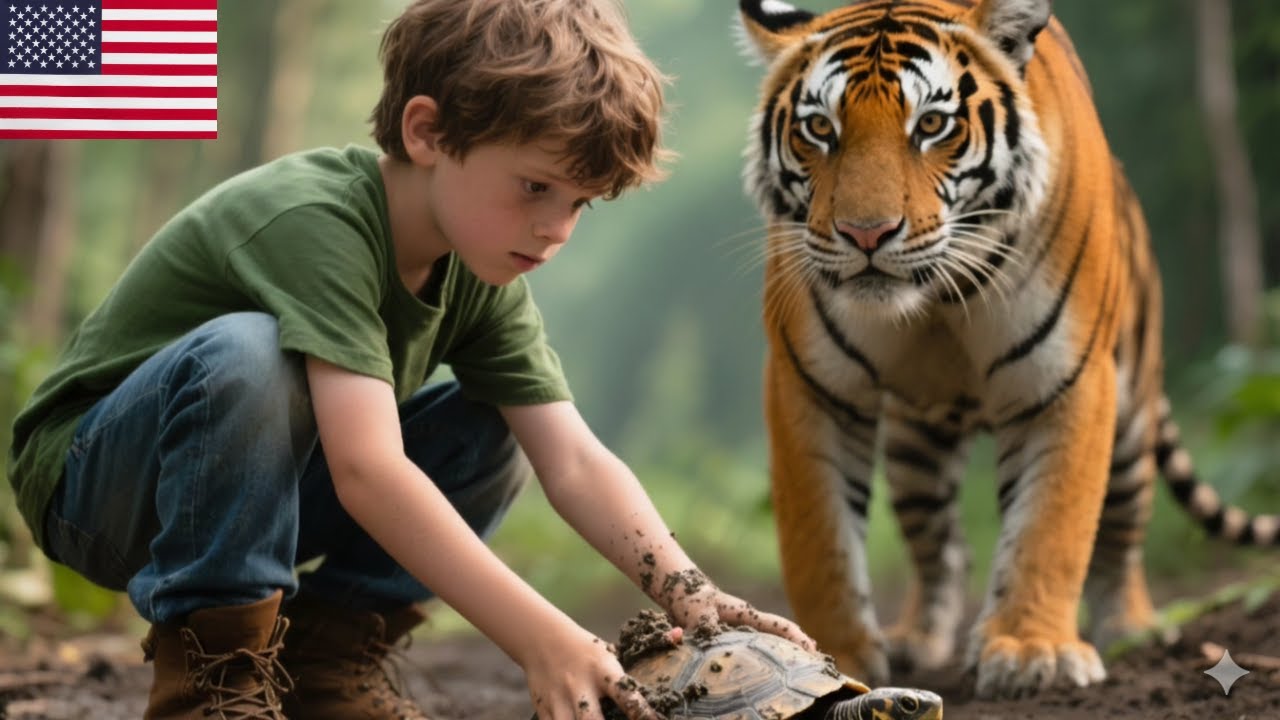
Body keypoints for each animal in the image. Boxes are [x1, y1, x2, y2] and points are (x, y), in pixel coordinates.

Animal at [735, 0, 1279, 700]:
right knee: (942, 546)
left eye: (932, 124)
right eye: (820, 128)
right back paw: (918, 638)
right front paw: (835, 657)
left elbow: (1051, 526)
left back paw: (1131, 628)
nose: (866, 234)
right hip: (914, 449)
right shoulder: (811, 385)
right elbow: (818, 540)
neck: (937, 294)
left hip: (1131, 412)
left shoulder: (1067, 379)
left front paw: (1030, 652)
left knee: (1122, 529)